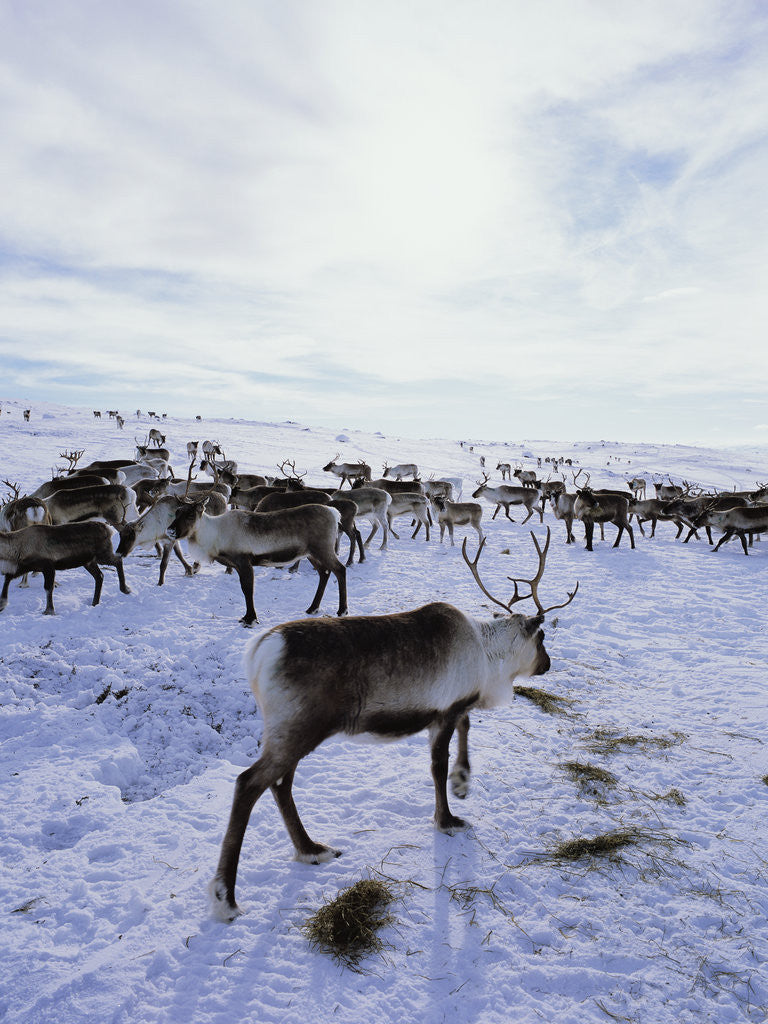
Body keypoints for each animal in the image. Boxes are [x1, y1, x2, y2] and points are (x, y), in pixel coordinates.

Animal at [207, 527, 578, 922]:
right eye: (542, 638)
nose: (548, 664)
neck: (488, 657)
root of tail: (259, 651)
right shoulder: (445, 711)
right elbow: (438, 764)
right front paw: (447, 818)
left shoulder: (454, 706)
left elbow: (467, 728)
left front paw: (463, 782)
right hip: (299, 727)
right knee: (249, 783)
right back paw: (226, 897)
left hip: (289, 731)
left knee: (280, 784)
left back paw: (310, 849)